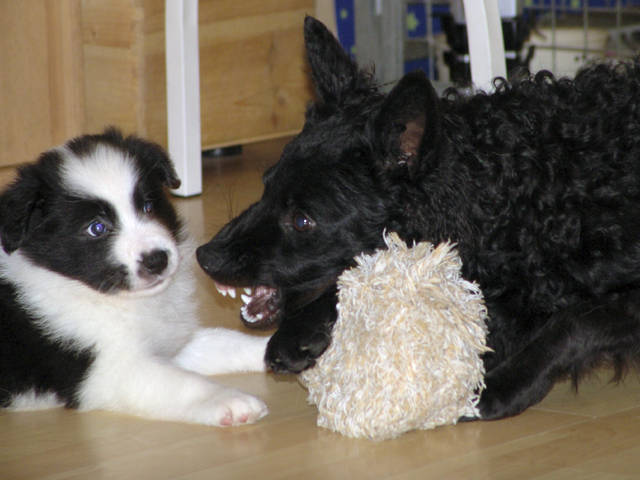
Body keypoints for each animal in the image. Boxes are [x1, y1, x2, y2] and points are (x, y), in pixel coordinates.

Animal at [0, 128, 269, 426]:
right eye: (96, 228)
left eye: (148, 206)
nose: (157, 260)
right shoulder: (111, 371)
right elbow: (183, 384)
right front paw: (232, 401)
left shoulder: (167, 344)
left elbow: (224, 341)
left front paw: (276, 348)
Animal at [196, 17, 640, 420]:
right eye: (266, 186)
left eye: (303, 220)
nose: (204, 256)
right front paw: (301, 331)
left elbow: (574, 323)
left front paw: (504, 386)